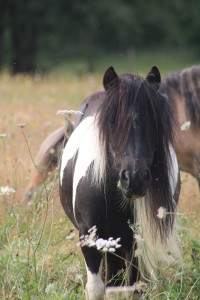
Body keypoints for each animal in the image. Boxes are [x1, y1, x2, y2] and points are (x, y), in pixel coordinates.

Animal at [59, 67, 181, 298]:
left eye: (153, 122)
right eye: (113, 122)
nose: (134, 179)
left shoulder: (136, 244)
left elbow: (133, 288)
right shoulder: (89, 238)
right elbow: (97, 289)